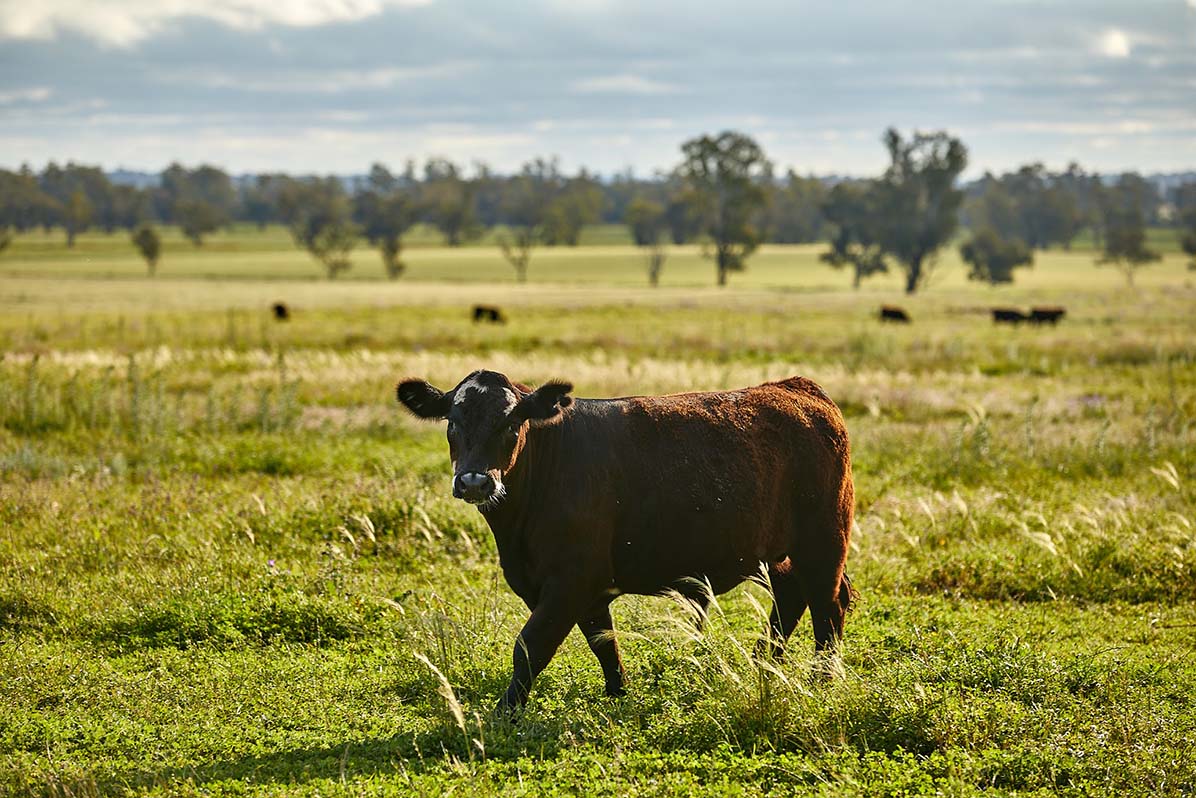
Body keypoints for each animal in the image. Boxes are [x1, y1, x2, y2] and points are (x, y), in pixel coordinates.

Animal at [397, 368, 856, 713]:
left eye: (511, 423)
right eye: (453, 422)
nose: (474, 480)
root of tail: (794, 387)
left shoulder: (571, 580)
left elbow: (531, 645)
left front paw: (505, 712)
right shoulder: (578, 587)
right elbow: (603, 642)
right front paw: (618, 693)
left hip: (823, 542)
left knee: (828, 605)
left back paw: (820, 680)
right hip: (778, 553)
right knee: (793, 595)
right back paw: (764, 664)